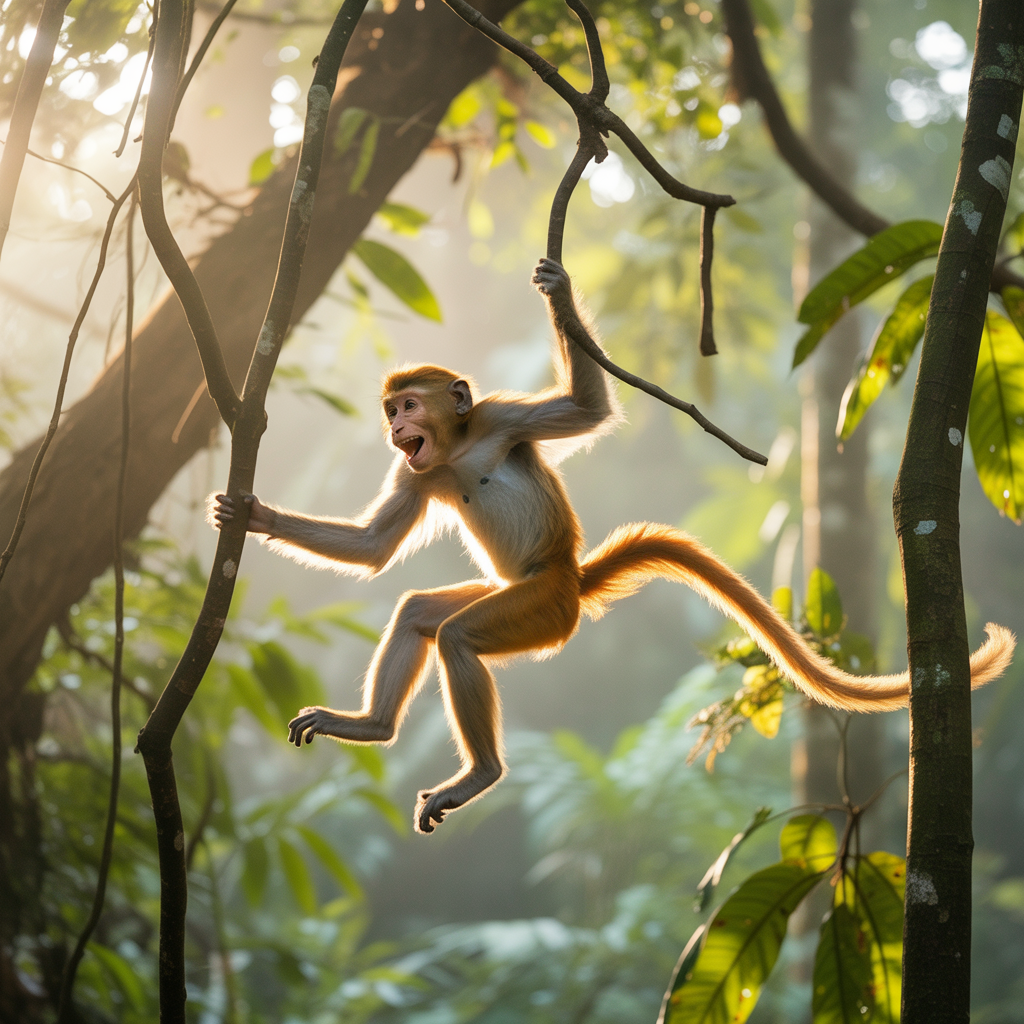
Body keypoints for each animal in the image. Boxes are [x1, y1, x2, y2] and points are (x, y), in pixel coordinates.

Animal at [212, 257, 1015, 834]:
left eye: (409, 404)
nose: (395, 427)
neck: (460, 445)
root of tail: (572, 579)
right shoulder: (423, 469)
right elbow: (376, 547)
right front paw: (252, 514)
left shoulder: (500, 417)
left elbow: (588, 410)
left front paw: (559, 294)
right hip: (519, 597)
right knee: (421, 613)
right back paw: (374, 726)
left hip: (538, 609)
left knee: (461, 637)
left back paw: (478, 773)